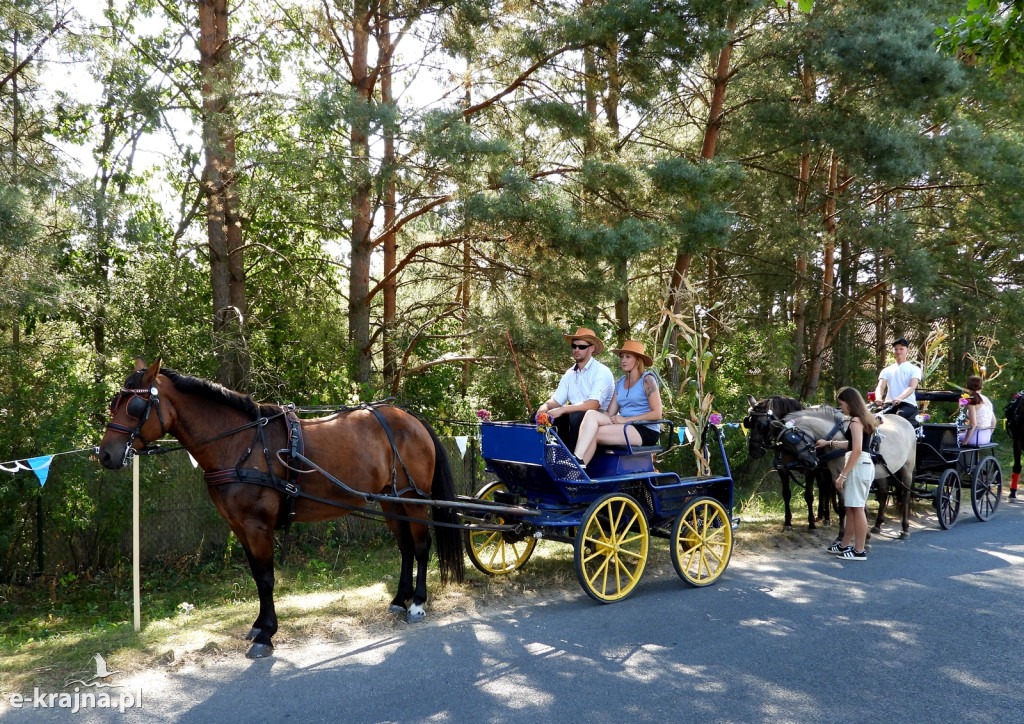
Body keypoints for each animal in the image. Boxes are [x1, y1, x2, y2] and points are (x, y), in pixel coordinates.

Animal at [96, 360, 464, 659]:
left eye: (136, 405)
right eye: (116, 403)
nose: (106, 455)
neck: (239, 444)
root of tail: (412, 419)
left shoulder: (257, 524)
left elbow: (266, 577)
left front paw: (267, 635)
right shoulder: (239, 525)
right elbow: (256, 575)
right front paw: (260, 626)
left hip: (412, 499)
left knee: (421, 546)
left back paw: (417, 603)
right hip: (390, 500)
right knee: (405, 547)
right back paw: (400, 600)